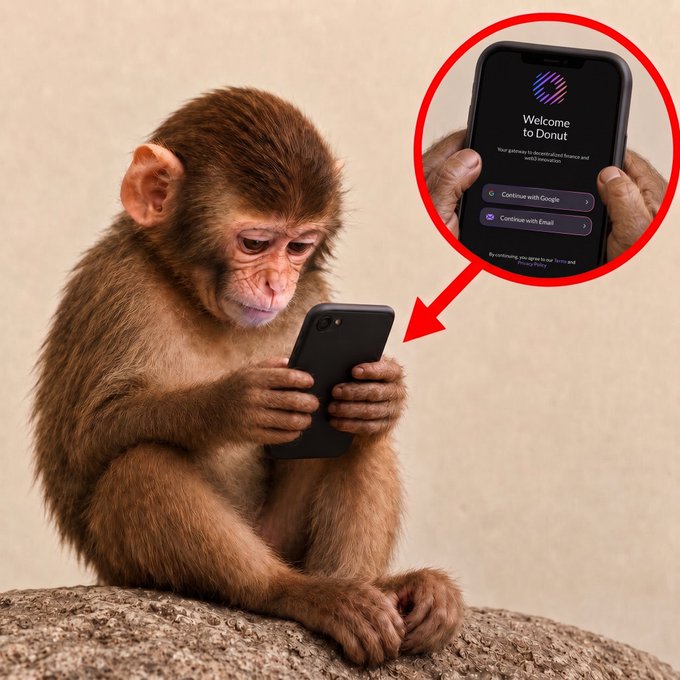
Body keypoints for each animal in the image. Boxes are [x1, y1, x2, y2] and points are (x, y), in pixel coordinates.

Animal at [32, 87, 464, 665]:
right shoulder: (115, 286)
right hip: (127, 567)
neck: (192, 293)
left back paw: (377, 586)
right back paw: (298, 592)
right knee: (140, 465)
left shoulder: (311, 295)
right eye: (255, 243)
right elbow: (87, 439)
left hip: (281, 535)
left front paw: (383, 393)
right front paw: (235, 403)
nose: (277, 284)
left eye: (299, 247)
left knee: (357, 437)